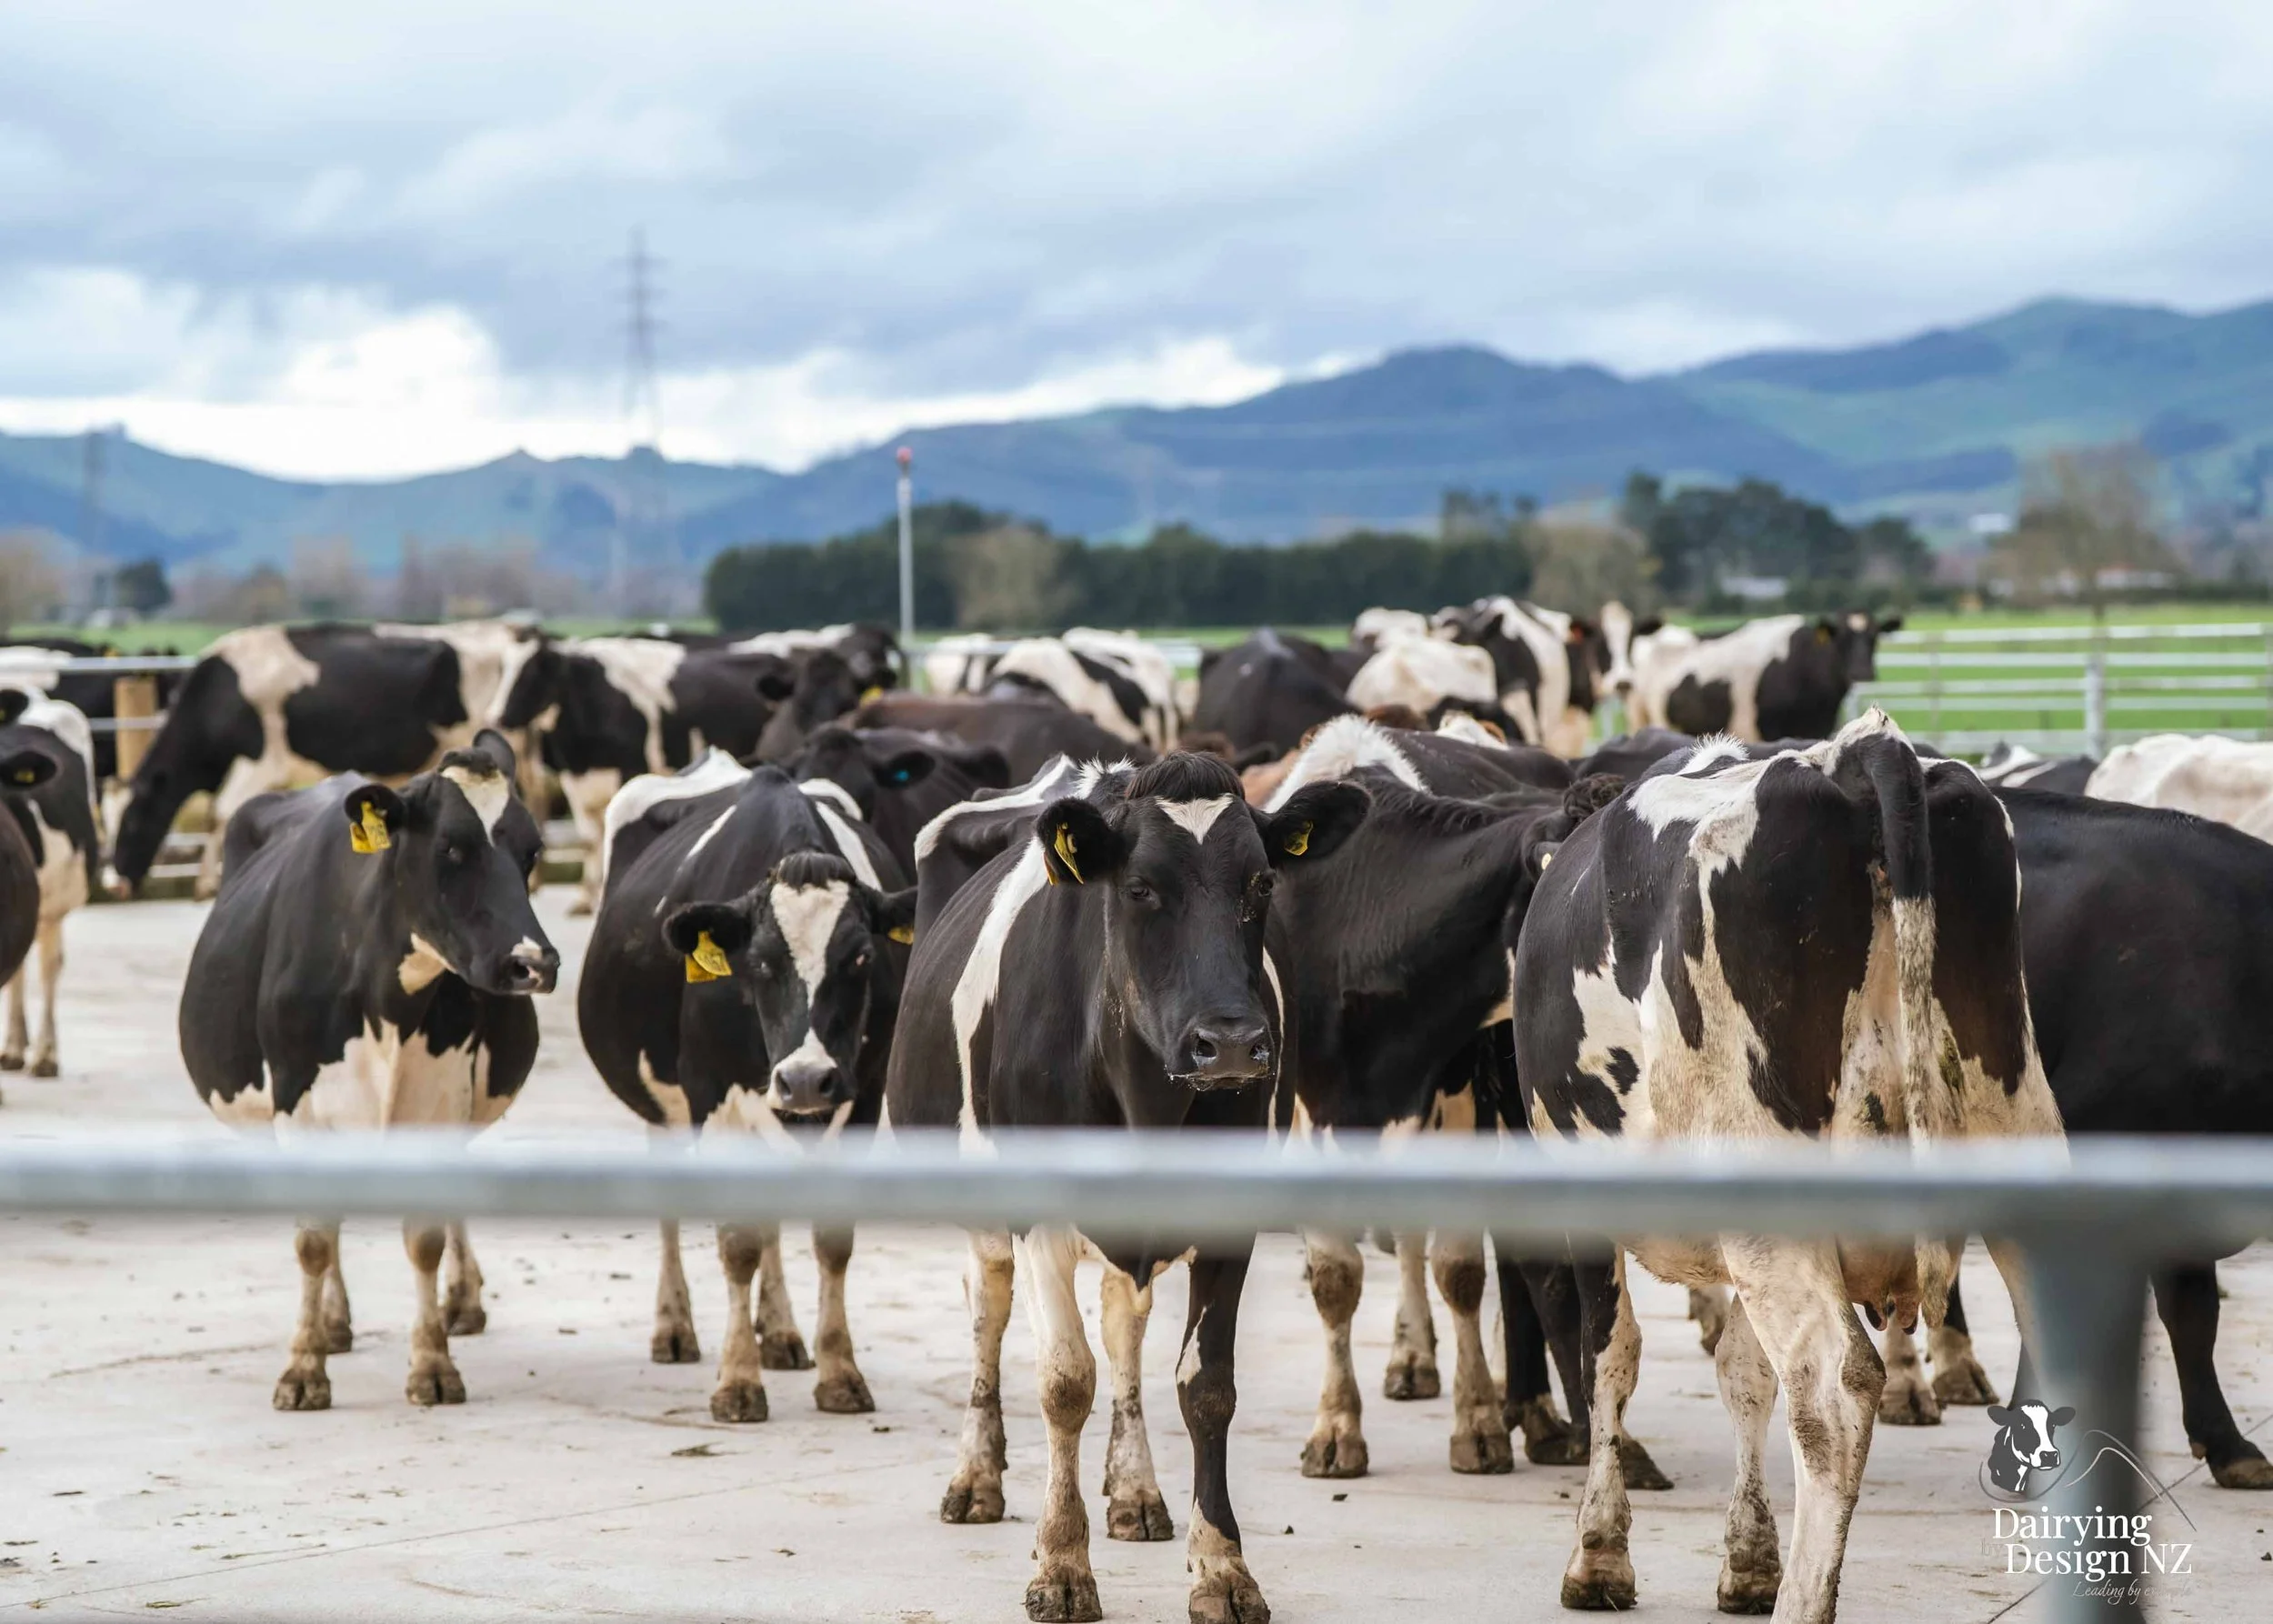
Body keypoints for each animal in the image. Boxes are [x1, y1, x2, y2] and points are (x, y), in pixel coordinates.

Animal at [178, 731, 558, 1411]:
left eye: (531, 850)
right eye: (451, 847)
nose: (533, 963)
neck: (386, 1000)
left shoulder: (440, 1104)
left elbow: (426, 1238)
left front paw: (433, 1363)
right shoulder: (297, 1103)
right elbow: (313, 1241)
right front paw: (303, 1368)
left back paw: (461, 1301)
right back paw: (333, 1323)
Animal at [488, 635, 797, 910]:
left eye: (532, 674)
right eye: (503, 671)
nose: (496, 716)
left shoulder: (630, 771)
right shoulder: (575, 785)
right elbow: (589, 840)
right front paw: (584, 899)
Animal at [579, 761, 912, 1420]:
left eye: (862, 957)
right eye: (758, 962)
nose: (805, 1077)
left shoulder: (861, 1095)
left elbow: (832, 1241)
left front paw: (839, 1372)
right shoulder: (712, 1094)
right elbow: (737, 1244)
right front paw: (737, 1381)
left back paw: (780, 1333)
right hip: (665, 1107)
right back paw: (674, 1327)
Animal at [889, 751, 1369, 1624]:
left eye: (1262, 883)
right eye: (1141, 888)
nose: (1231, 1044)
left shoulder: (1228, 1218)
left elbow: (1205, 1387)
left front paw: (1221, 1568)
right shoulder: (1039, 1215)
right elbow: (1062, 1381)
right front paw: (1061, 1563)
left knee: (1123, 1327)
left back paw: (1136, 1490)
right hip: (982, 1210)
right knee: (988, 1312)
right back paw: (975, 1477)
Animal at [1512, 711, 2060, 1618]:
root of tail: (1856, 751)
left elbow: (1610, 1357)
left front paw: (1599, 1555)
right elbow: (1742, 1373)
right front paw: (1747, 1560)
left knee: (1834, 1392)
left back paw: (1806, 1600)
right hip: (2015, 1138)